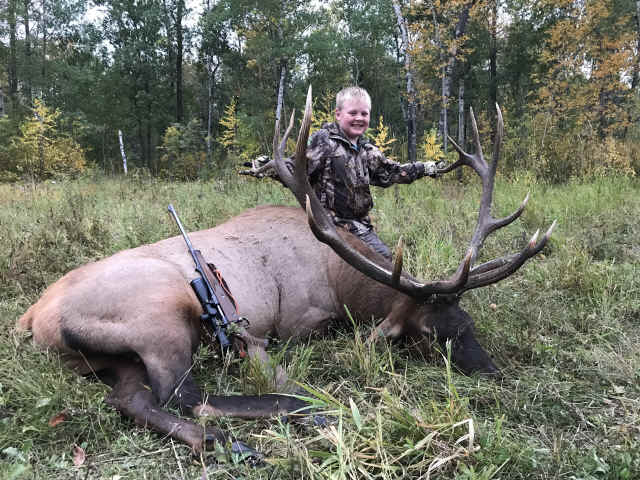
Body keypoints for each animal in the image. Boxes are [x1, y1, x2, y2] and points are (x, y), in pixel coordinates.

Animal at [17, 86, 554, 454]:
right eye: (428, 335)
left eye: (468, 323)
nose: (492, 373)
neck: (341, 281)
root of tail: (31, 318)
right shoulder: (301, 321)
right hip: (160, 316)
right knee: (184, 394)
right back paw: (299, 413)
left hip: (115, 360)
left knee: (132, 400)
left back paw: (223, 441)